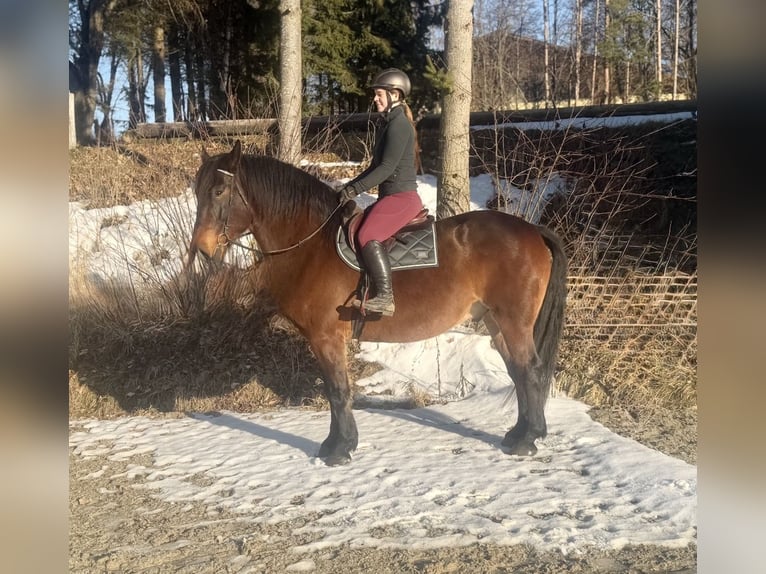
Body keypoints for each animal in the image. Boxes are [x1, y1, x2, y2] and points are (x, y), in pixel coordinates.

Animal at [187, 140, 567, 466]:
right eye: (196, 192)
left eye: (219, 191)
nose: (202, 250)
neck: (311, 245)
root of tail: (532, 230)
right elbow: (337, 389)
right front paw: (339, 444)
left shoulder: (326, 338)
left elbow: (338, 390)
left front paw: (339, 448)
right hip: (496, 322)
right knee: (518, 372)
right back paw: (519, 433)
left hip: (514, 322)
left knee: (530, 370)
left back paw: (527, 439)